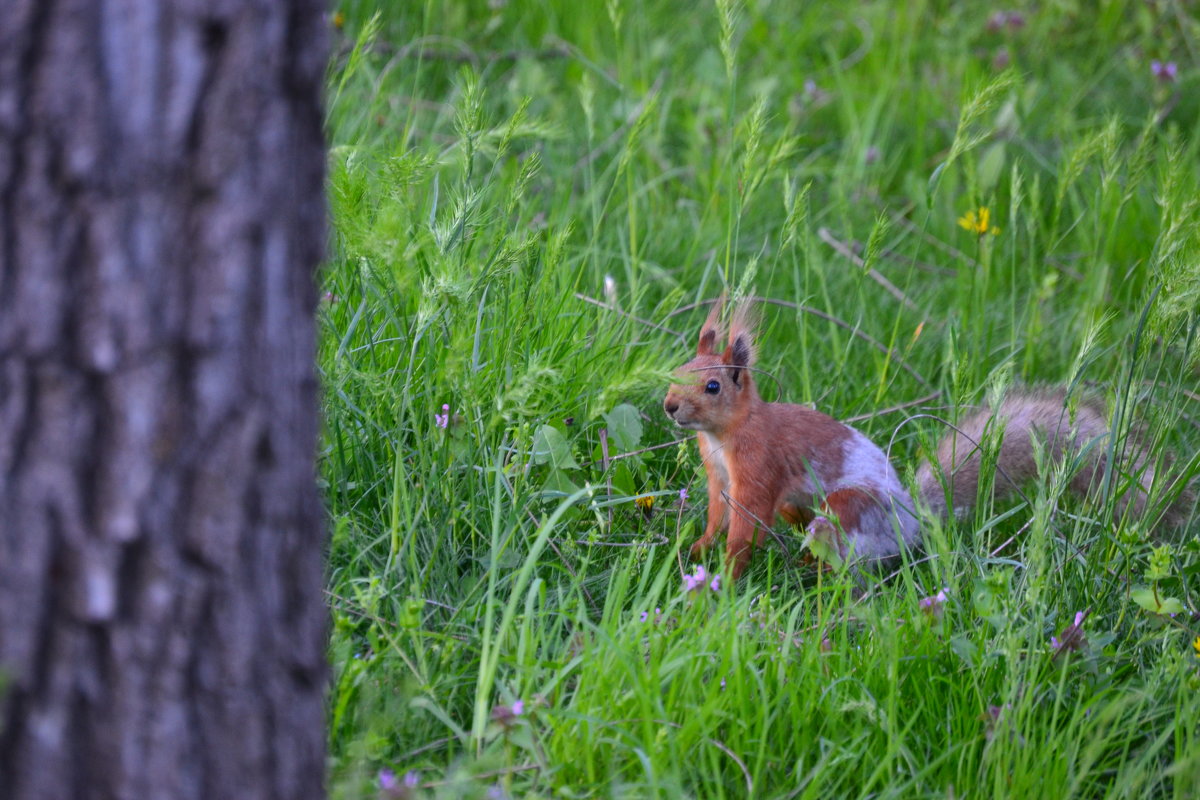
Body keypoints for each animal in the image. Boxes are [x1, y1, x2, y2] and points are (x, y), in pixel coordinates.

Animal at [667, 297, 1190, 578]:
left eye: (713, 386)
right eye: (677, 370)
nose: (670, 406)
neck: (727, 434)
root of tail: (912, 522)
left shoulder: (758, 469)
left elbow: (745, 524)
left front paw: (729, 571)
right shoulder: (719, 476)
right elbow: (717, 514)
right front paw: (697, 548)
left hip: (848, 511)